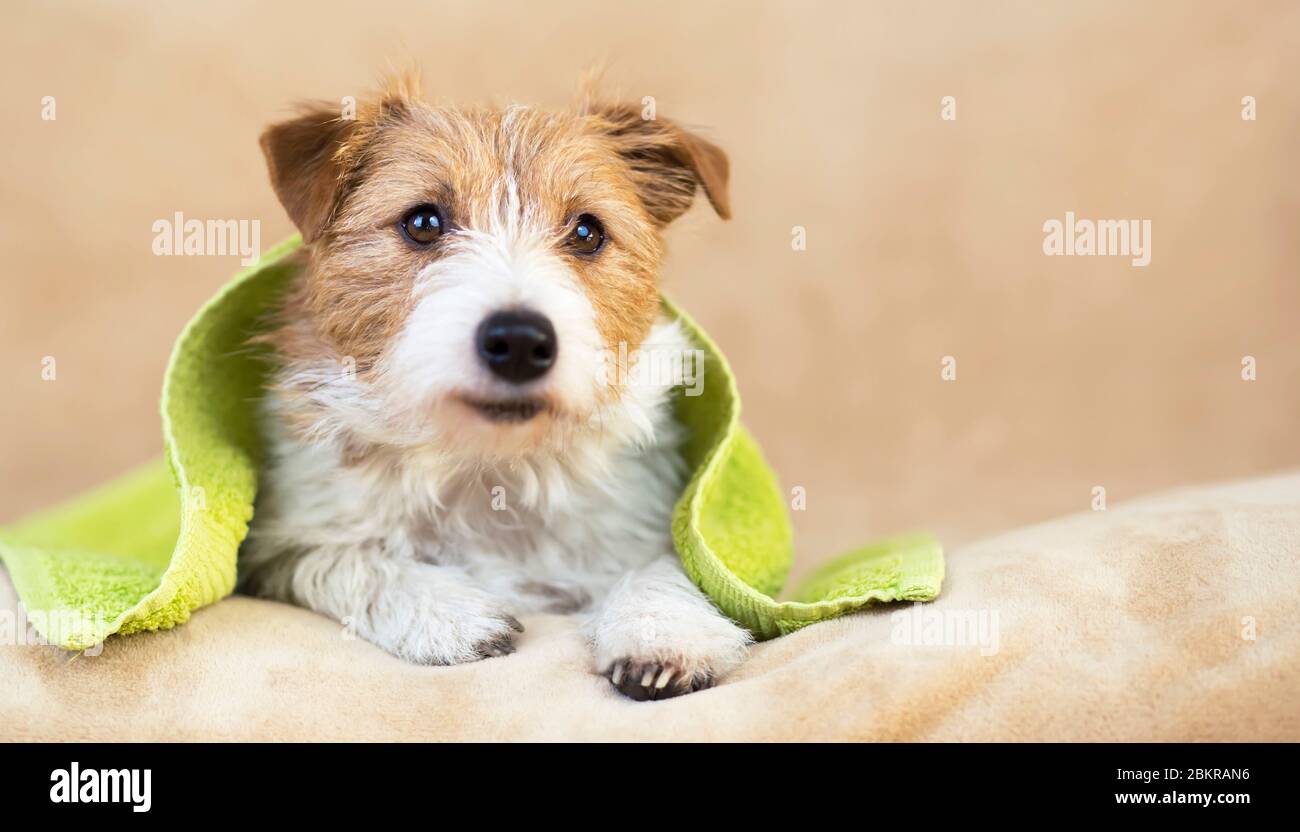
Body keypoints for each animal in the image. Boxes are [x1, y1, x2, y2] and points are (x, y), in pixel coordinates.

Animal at [239, 78, 754, 696]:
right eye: (422, 222)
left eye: (587, 231)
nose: (519, 341)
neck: (491, 471)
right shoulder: (280, 548)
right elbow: (350, 560)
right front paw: (449, 614)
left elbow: (663, 565)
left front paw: (664, 630)